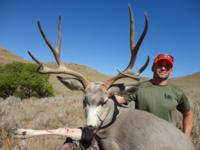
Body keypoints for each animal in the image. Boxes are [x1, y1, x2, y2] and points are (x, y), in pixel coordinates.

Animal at [11, 4, 195, 150]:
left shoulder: (111, 143)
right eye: (84, 100)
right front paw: (20, 131)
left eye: (104, 101)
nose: (91, 125)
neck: (113, 120)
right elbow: (65, 129)